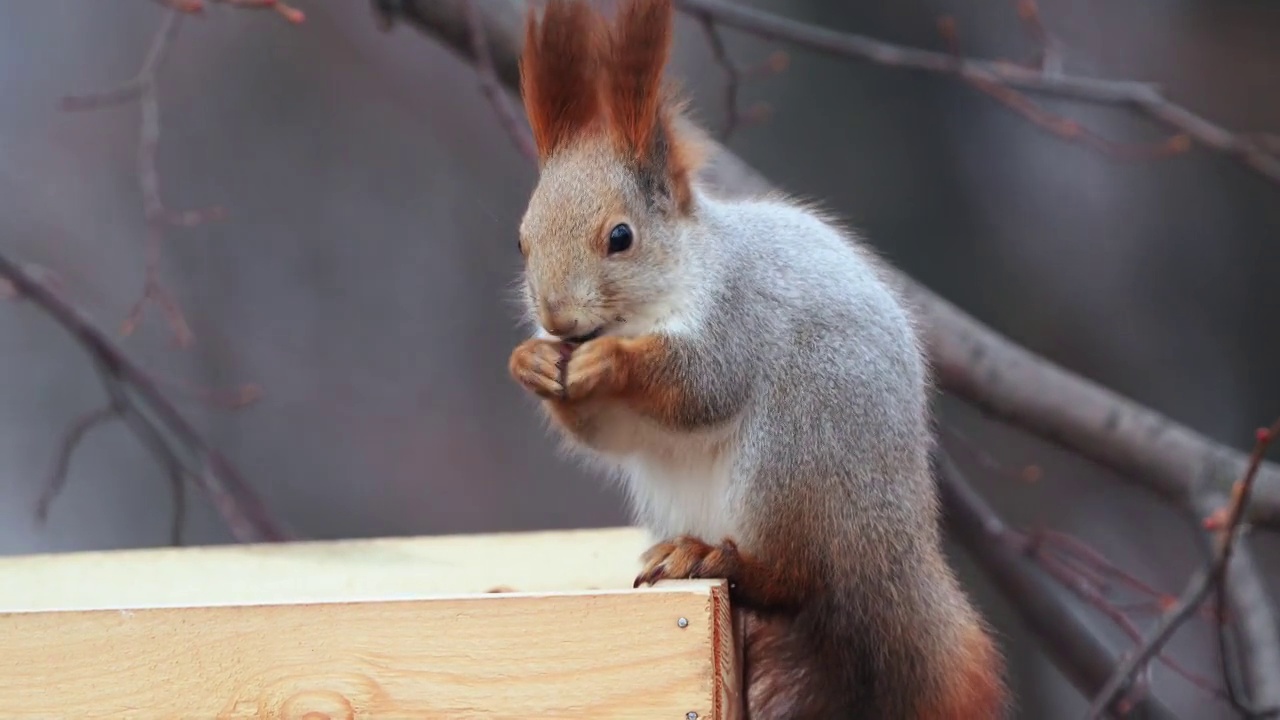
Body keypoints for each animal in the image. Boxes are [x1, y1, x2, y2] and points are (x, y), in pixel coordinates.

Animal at [504, 0, 1003, 712]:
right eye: (522, 241)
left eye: (621, 237)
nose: (556, 317)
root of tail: (891, 552)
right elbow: (606, 431)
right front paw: (533, 363)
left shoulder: (741, 317)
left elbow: (703, 385)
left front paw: (612, 363)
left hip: (793, 456)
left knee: (798, 578)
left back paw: (718, 560)